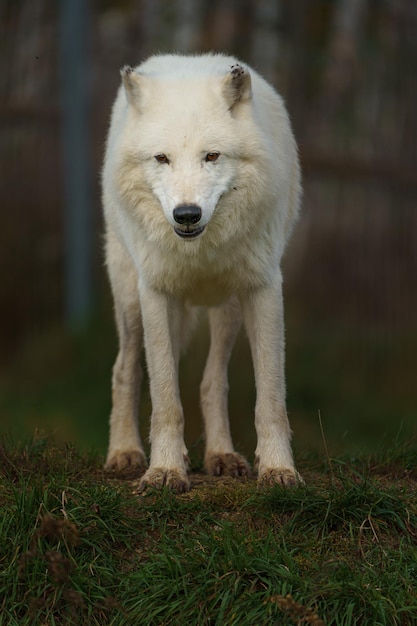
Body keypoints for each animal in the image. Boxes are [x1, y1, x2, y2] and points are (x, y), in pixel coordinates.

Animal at [102, 53, 300, 490]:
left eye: (212, 156)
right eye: (162, 158)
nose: (187, 214)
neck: (199, 251)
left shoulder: (263, 288)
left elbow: (271, 396)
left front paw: (278, 469)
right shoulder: (156, 292)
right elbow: (165, 397)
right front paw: (164, 470)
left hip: (227, 310)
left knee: (212, 382)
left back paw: (221, 456)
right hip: (131, 302)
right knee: (125, 370)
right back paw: (124, 452)